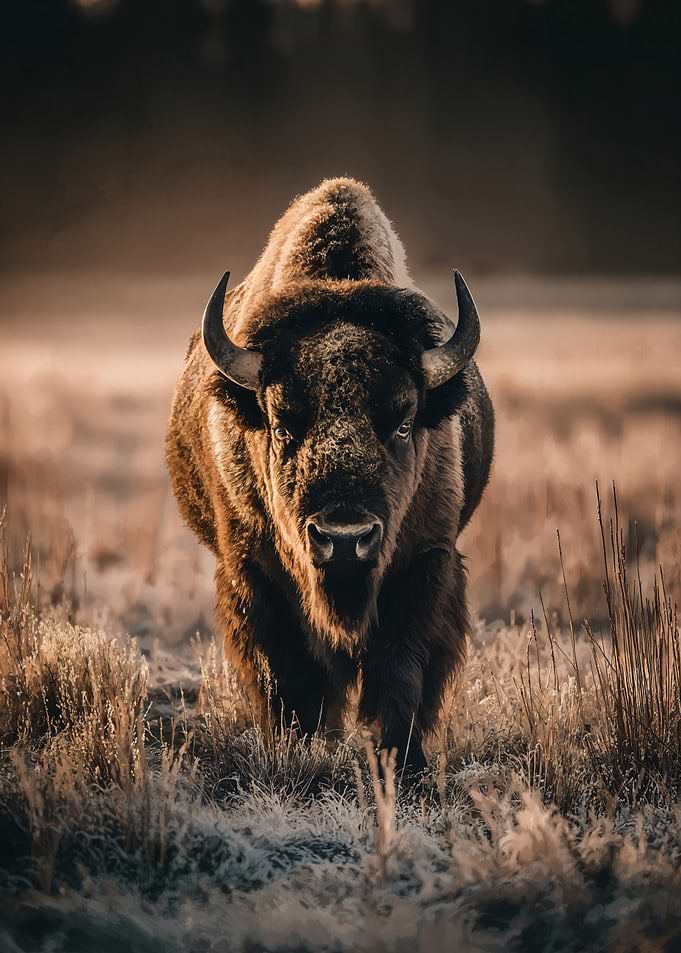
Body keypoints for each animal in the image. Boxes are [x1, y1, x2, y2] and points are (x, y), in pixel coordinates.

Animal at [166, 178, 494, 775]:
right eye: (280, 423)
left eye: (405, 420)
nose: (344, 538)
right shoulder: (252, 569)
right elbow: (284, 671)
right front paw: (295, 746)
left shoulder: (425, 562)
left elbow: (402, 664)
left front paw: (401, 759)